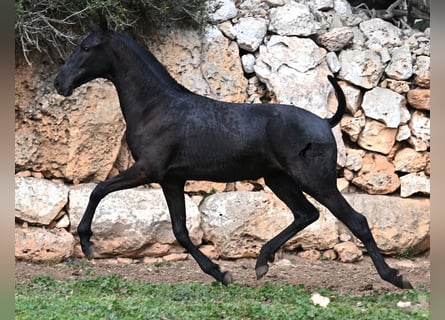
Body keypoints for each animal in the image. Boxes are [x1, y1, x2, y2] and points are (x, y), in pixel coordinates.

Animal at [53, 21, 412, 288]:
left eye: (86, 48)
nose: (60, 83)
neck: (156, 106)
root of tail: (325, 122)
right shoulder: (172, 180)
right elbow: (180, 230)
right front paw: (220, 273)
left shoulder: (148, 170)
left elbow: (99, 190)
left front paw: (87, 243)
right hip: (280, 180)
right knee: (306, 214)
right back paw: (262, 262)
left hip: (315, 181)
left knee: (355, 220)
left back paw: (395, 278)